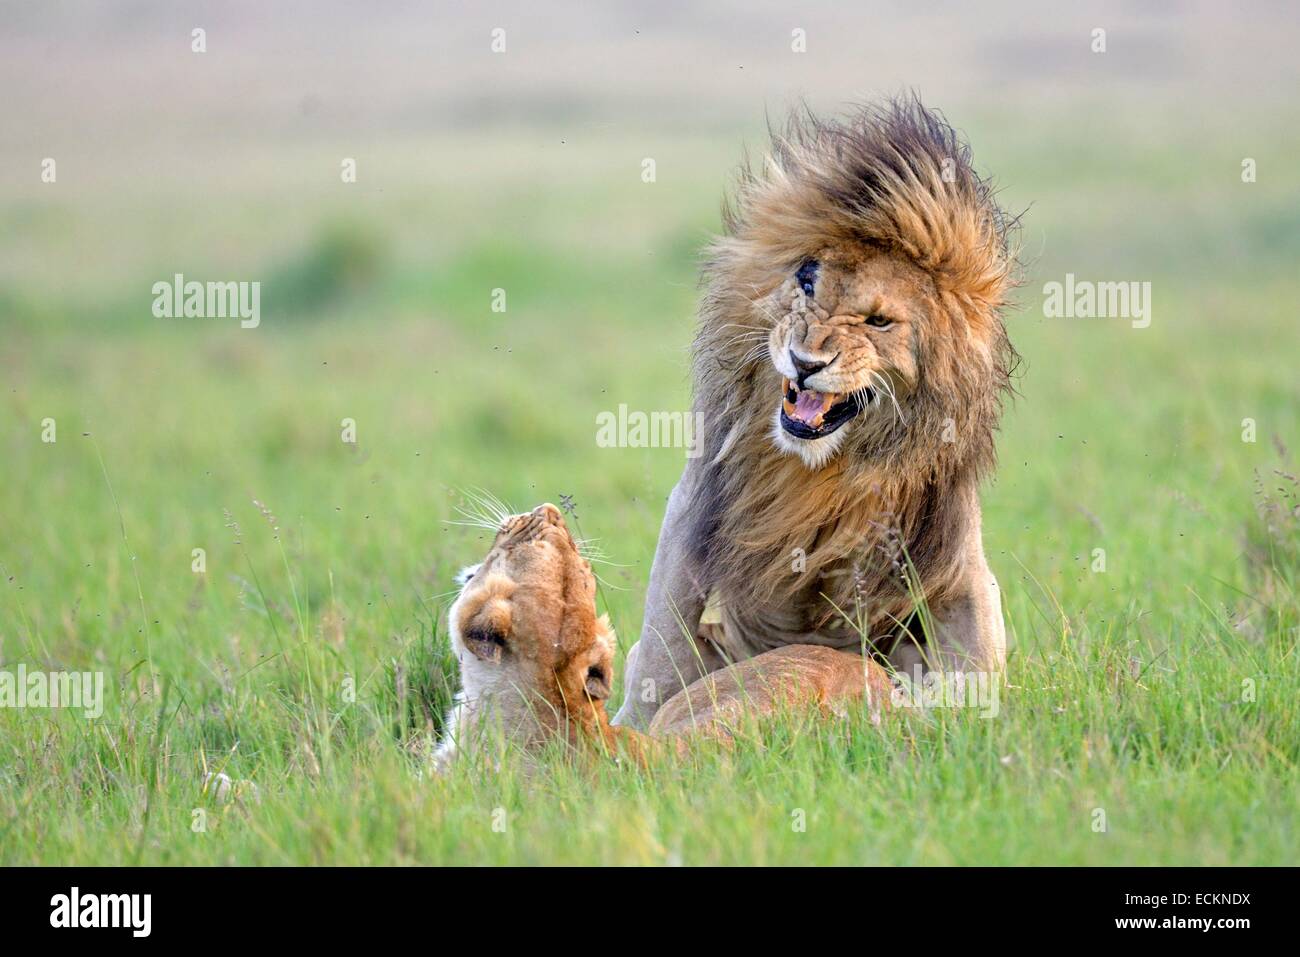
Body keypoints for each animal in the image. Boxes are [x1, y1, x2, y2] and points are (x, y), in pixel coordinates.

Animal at [611, 95, 1018, 730]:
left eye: (878, 321)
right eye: (806, 283)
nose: (805, 363)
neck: (818, 467)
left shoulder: (952, 551)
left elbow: (975, 656)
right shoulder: (697, 501)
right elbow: (662, 640)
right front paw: (627, 729)